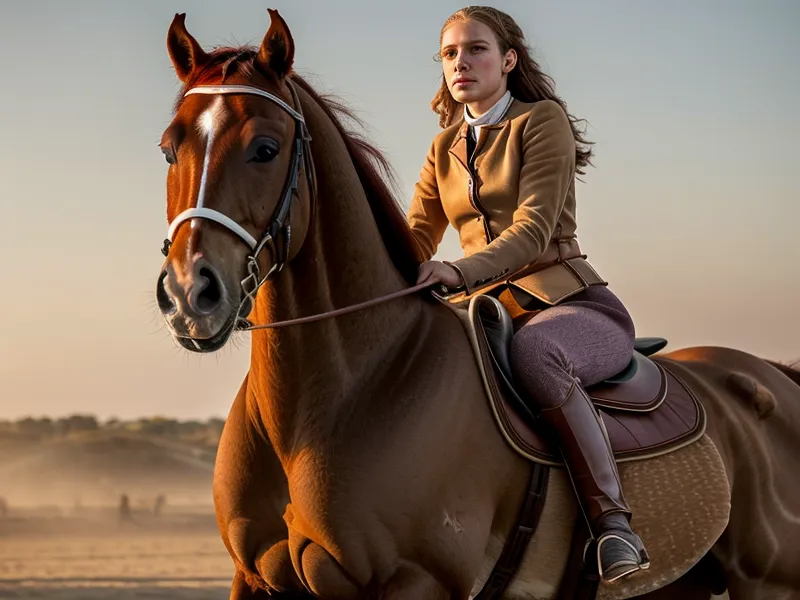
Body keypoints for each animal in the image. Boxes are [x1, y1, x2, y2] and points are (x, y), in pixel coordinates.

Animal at [154, 10, 800, 599]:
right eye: (168, 149)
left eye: (265, 148)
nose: (189, 293)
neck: (336, 399)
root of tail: (772, 376)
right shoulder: (253, 578)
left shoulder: (418, 581)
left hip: (769, 583)